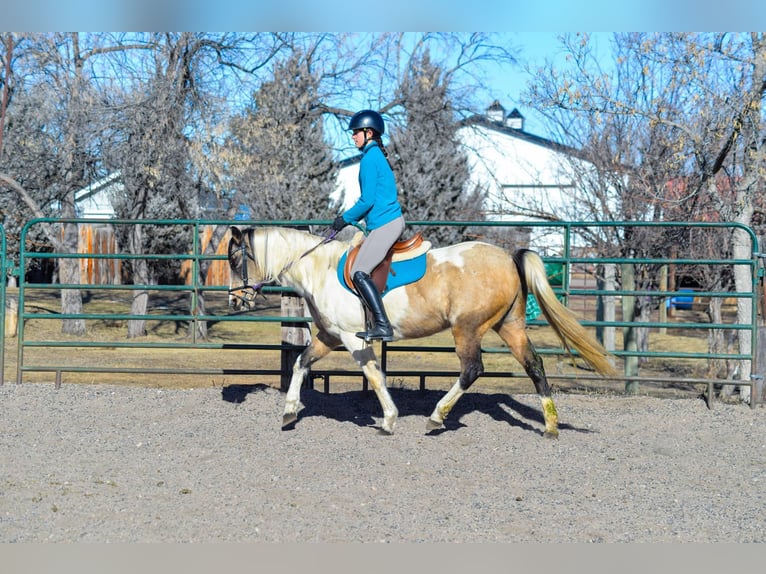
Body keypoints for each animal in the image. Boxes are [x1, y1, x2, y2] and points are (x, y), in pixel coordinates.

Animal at [227, 225, 616, 438]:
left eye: (234, 259)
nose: (235, 300)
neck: (317, 269)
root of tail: (507, 258)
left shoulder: (353, 338)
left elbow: (374, 374)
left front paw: (388, 420)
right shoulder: (330, 336)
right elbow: (301, 363)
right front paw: (290, 411)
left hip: (467, 329)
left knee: (472, 369)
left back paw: (436, 417)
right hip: (510, 326)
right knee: (534, 365)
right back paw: (550, 426)